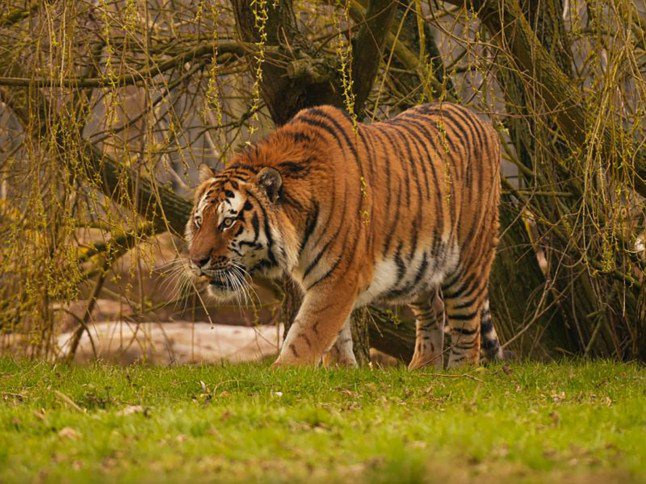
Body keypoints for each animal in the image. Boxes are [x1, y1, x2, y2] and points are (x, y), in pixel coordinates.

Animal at [186, 102, 504, 368]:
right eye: (199, 221)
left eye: (228, 222)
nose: (197, 261)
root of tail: (484, 121)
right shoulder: (326, 279)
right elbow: (336, 335)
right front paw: (342, 370)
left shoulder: (340, 277)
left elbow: (308, 332)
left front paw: (283, 372)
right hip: (420, 268)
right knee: (434, 308)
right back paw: (422, 369)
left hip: (468, 261)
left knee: (467, 325)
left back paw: (459, 373)